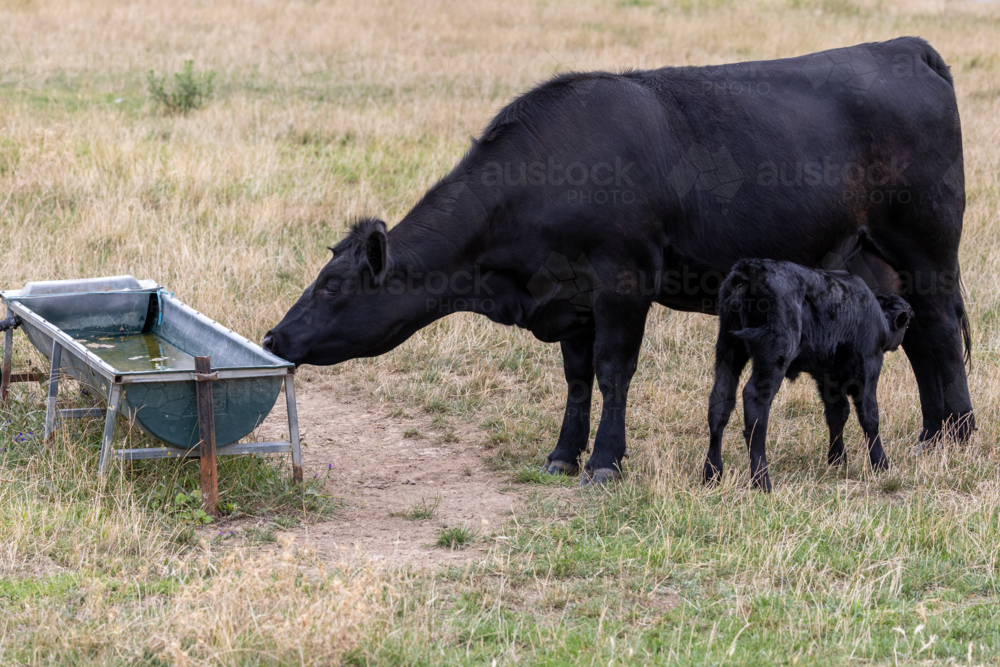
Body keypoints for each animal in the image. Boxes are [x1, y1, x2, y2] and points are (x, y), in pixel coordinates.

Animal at [704, 258, 913, 492]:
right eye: (906, 324)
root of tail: (749, 269)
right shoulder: (869, 367)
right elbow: (869, 416)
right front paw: (880, 463)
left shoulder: (828, 379)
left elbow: (837, 414)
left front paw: (837, 459)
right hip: (773, 356)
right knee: (754, 404)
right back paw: (761, 480)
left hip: (728, 350)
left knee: (720, 402)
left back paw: (712, 473)